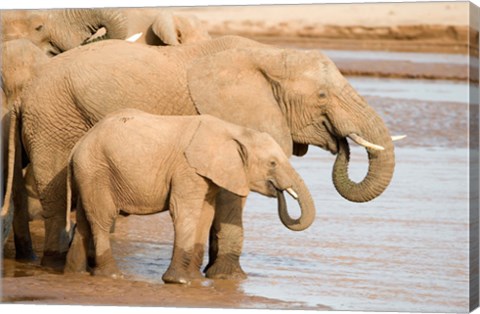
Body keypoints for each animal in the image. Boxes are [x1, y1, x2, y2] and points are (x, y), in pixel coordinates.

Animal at [65, 109, 316, 284]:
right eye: (272, 163)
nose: (279, 190)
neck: (234, 130)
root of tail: (78, 144)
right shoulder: (187, 169)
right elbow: (184, 212)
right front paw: (179, 281)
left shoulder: (208, 175)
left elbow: (205, 215)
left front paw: (194, 280)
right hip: (96, 168)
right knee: (103, 217)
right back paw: (112, 275)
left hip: (89, 172)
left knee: (86, 219)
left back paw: (75, 272)